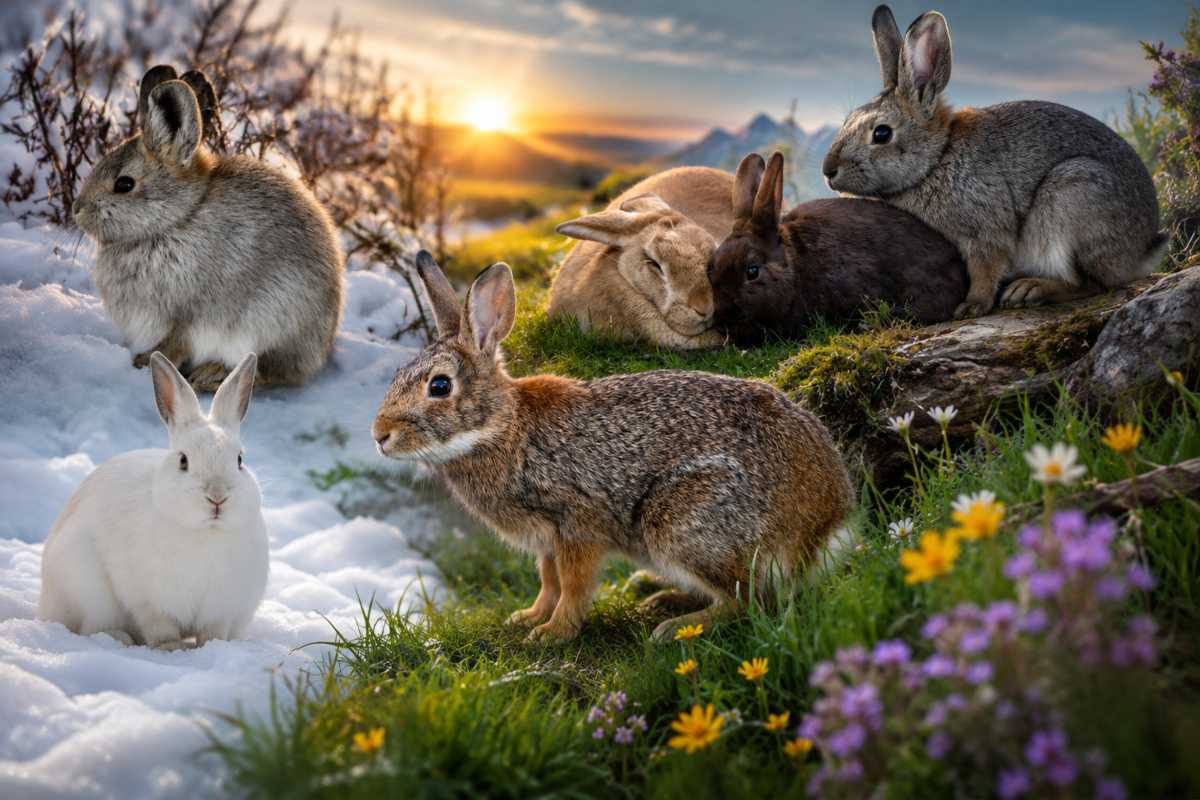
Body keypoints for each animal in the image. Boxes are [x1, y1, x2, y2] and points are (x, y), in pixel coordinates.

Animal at [37, 352, 268, 650]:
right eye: (183, 461)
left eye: (239, 460)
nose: (217, 498)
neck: (205, 532)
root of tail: (45, 604)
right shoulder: (147, 601)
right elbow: (159, 626)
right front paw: (172, 647)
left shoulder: (221, 609)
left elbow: (213, 631)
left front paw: (212, 647)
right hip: (85, 589)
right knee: (89, 628)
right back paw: (121, 638)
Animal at [73, 65, 344, 391]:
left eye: (124, 184)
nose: (76, 209)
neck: (177, 220)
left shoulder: (190, 316)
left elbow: (175, 344)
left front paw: (143, 362)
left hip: (274, 320)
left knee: (269, 371)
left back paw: (211, 376)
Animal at [372, 251, 854, 644]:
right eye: (396, 376)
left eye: (439, 386)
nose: (379, 435)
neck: (502, 428)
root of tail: (824, 517)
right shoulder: (547, 540)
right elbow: (548, 580)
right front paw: (529, 617)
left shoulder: (578, 523)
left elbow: (574, 585)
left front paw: (553, 634)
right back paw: (665, 600)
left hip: (682, 519)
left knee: (753, 598)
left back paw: (674, 627)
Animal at [821, 5, 1167, 319]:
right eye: (847, 121)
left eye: (881, 133)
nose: (828, 171)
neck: (937, 158)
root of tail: (1143, 249)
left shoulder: (984, 231)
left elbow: (984, 270)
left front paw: (971, 306)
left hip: (1072, 197)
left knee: (1090, 282)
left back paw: (1029, 290)